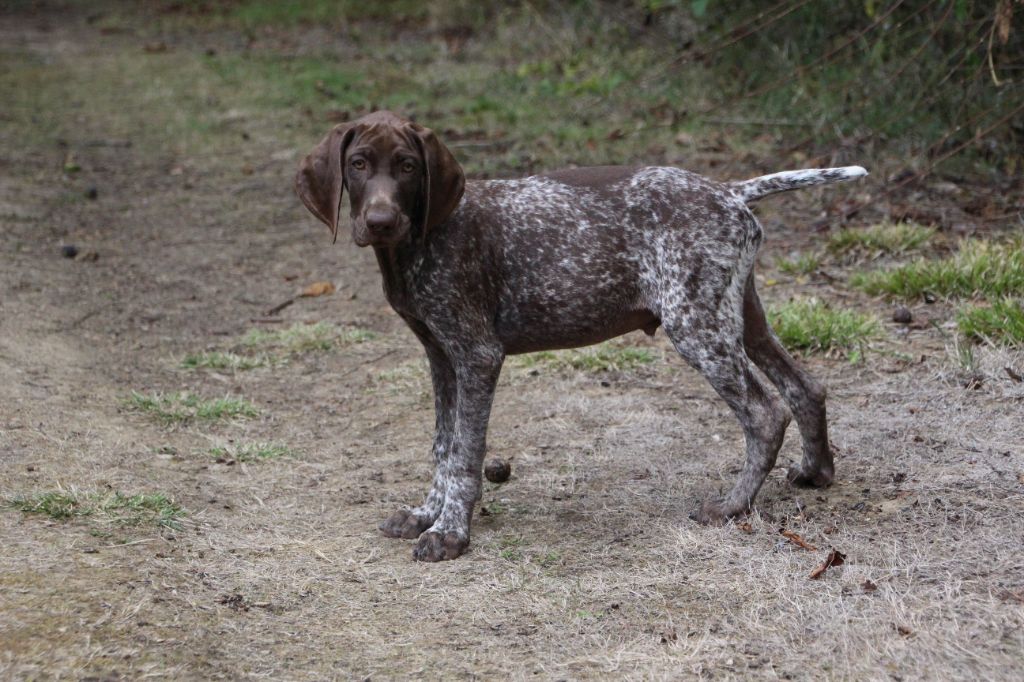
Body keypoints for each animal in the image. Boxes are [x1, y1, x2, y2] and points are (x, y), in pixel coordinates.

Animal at [294, 110, 864, 557]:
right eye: (358, 164)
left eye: (408, 167)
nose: (380, 220)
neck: (422, 241)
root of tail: (728, 191)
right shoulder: (440, 356)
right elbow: (442, 445)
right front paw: (425, 513)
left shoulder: (477, 355)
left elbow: (464, 453)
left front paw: (451, 532)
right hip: (741, 317)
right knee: (806, 387)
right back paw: (816, 472)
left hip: (696, 326)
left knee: (766, 414)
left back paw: (731, 506)